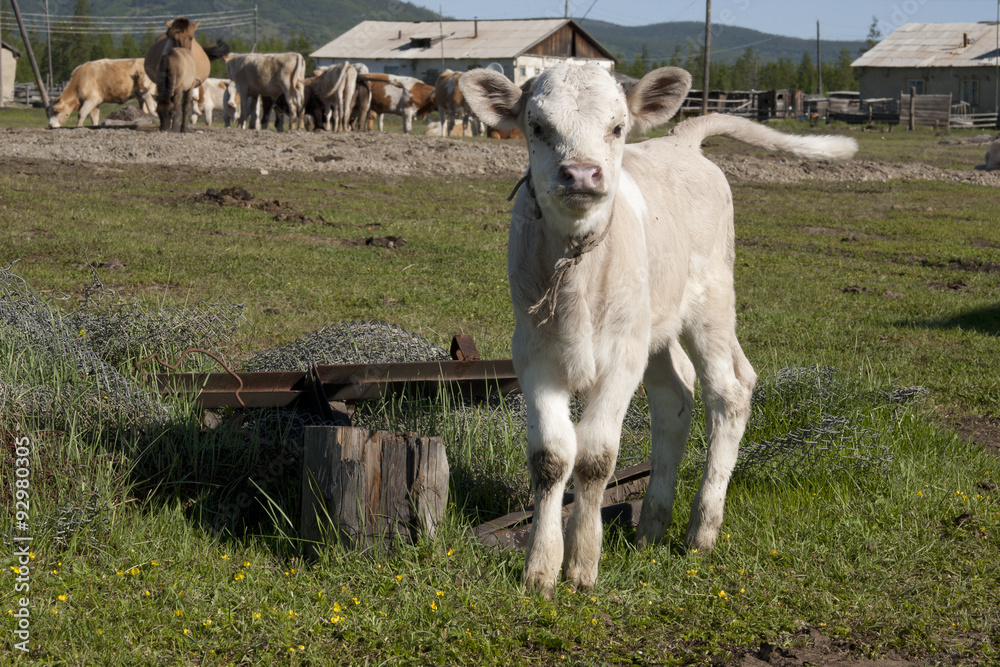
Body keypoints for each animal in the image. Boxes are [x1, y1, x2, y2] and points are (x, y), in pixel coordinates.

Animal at [459, 63, 857, 598]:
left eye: (617, 127)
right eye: (538, 127)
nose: (581, 173)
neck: (577, 272)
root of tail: (680, 142)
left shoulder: (621, 356)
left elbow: (595, 457)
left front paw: (582, 565)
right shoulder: (533, 352)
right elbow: (551, 457)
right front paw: (540, 570)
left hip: (711, 304)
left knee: (729, 391)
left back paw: (701, 531)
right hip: (657, 327)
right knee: (676, 398)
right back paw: (650, 526)